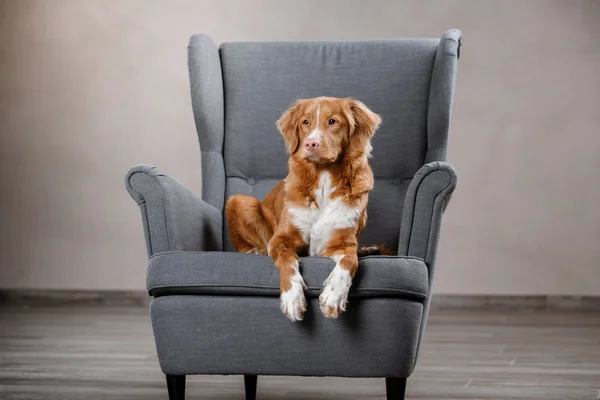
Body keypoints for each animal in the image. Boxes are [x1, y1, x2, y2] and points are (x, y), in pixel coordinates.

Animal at [225, 97, 384, 322]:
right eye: (305, 122)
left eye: (333, 121)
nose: (311, 143)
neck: (324, 174)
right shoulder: (280, 239)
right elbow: (287, 260)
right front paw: (293, 297)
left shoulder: (340, 244)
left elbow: (350, 261)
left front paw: (333, 296)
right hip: (240, 200)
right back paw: (255, 251)